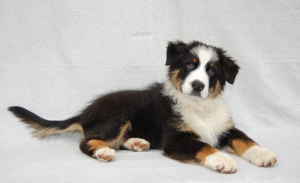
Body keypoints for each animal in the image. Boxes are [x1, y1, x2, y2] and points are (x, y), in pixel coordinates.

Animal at [8, 40, 276, 174]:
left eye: (212, 71)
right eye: (190, 65)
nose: (198, 85)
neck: (198, 107)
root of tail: (84, 112)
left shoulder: (224, 127)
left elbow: (244, 139)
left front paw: (263, 154)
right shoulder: (175, 138)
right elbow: (202, 145)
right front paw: (222, 159)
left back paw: (137, 142)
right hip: (117, 117)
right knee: (87, 142)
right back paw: (103, 152)